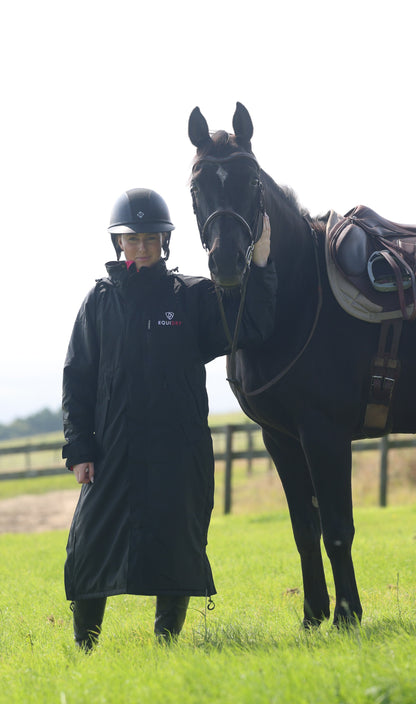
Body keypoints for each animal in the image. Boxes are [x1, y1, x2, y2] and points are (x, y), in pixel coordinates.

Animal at [188, 102, 416, 628]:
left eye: (252, 181)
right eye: (195, 185)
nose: (227, 262)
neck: (298, 297)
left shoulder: (323, 434)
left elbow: (337, 529)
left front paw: (348, 615)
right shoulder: (281, 438)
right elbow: (304, 530)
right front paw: (313, 616)